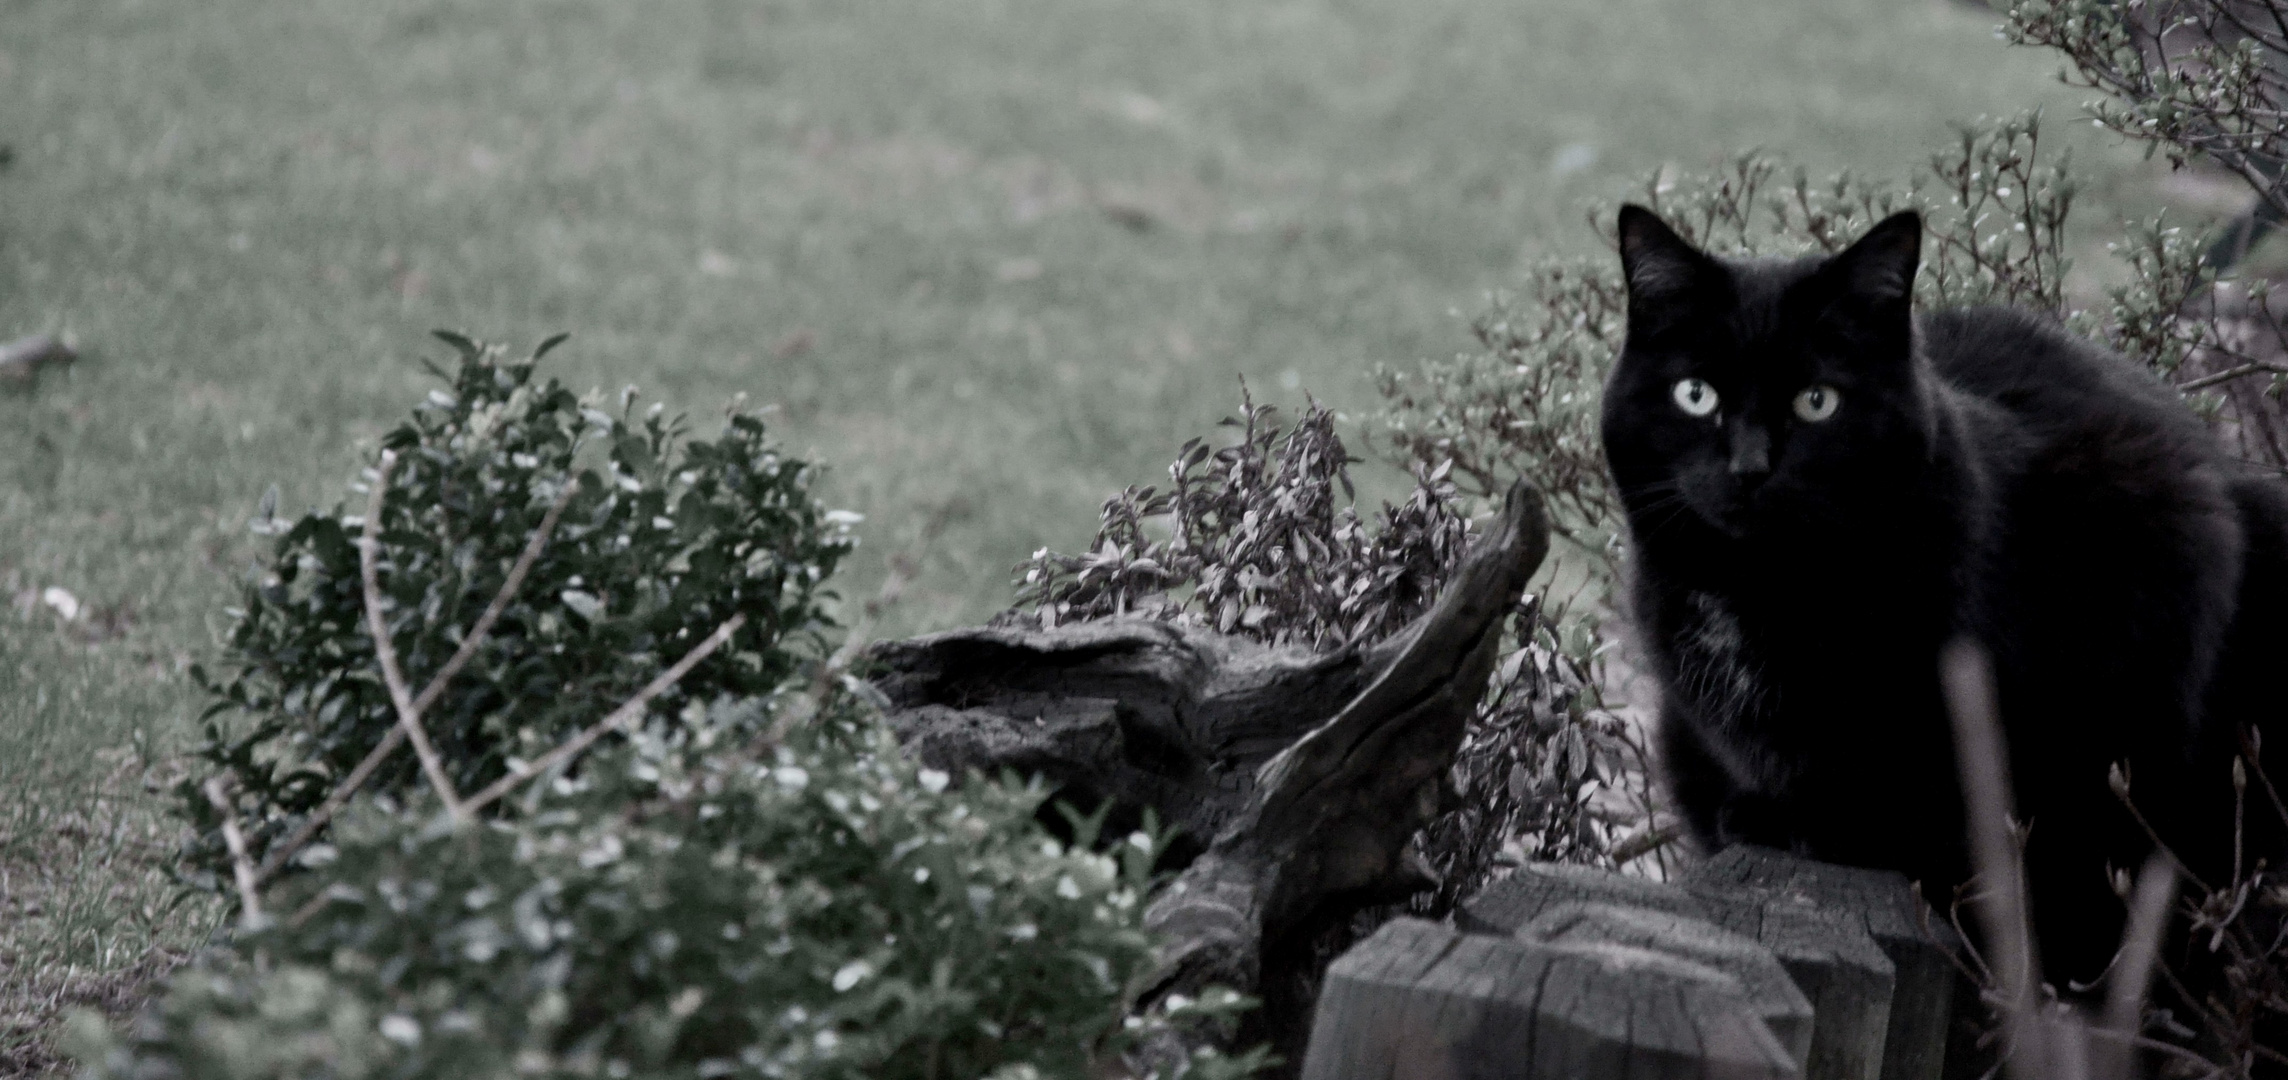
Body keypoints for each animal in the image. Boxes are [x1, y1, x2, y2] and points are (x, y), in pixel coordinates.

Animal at [1601, 204, 2288, 988]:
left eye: (1817, 402)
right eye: (1696, 395)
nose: (1749, 467)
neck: (1765, 588)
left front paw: (1836, 827)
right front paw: (1768, 812)